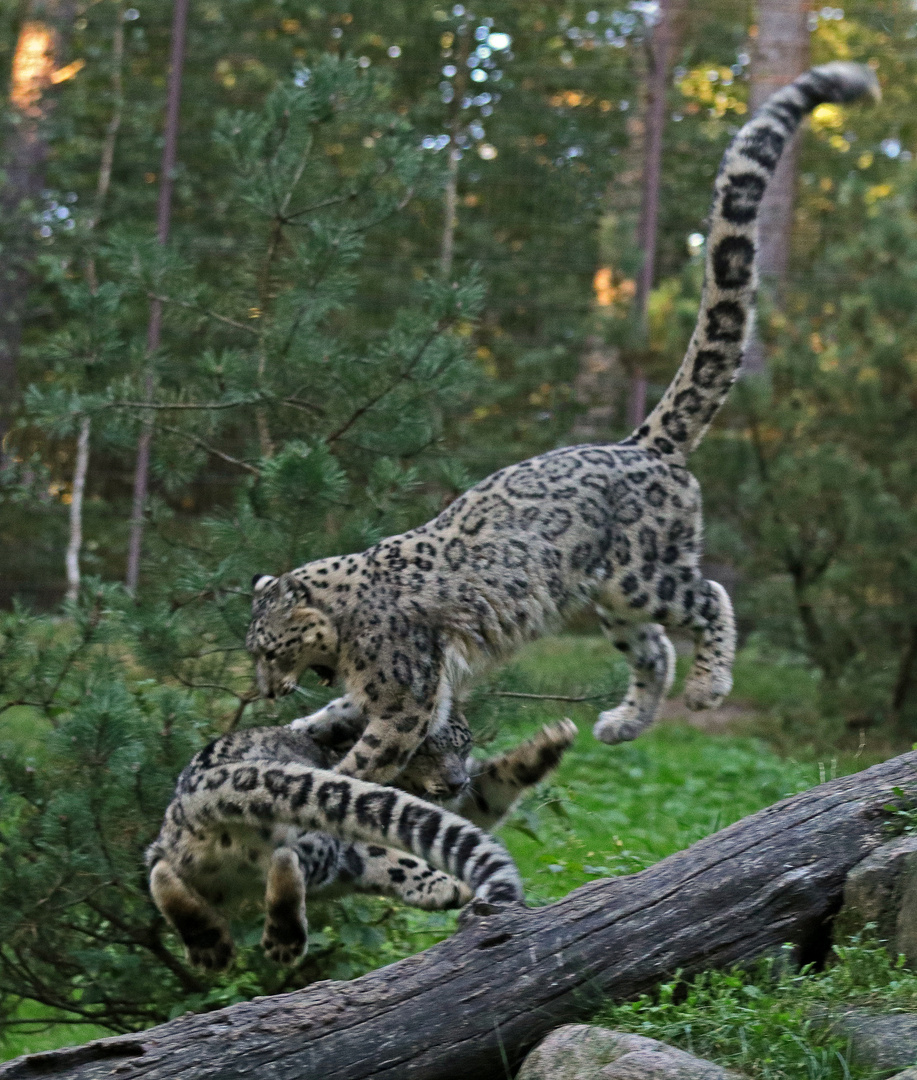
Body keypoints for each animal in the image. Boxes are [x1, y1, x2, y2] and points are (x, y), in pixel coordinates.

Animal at [147, 717, 574, 972]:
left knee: (160, 873)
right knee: (292, 859)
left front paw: (552, 739)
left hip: (193, 861)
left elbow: (491, 785)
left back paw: (210, 947)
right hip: (322, 837)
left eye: (463, 745)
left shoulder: (465, 800)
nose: (456, 781)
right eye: (426, 750)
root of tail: (207, 780)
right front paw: (446, 886)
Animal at [245, 63, 881, 790]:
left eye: (270, 648)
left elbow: (369, 753)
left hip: (641, 575)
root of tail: (640, 445)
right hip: (613, 599)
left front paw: (331, 773)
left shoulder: (405, 693)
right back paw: (620, 723)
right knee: (653, 649)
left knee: (708, 595)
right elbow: (338, 713)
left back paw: (707, 688)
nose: (264, 689)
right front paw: (301, 724)